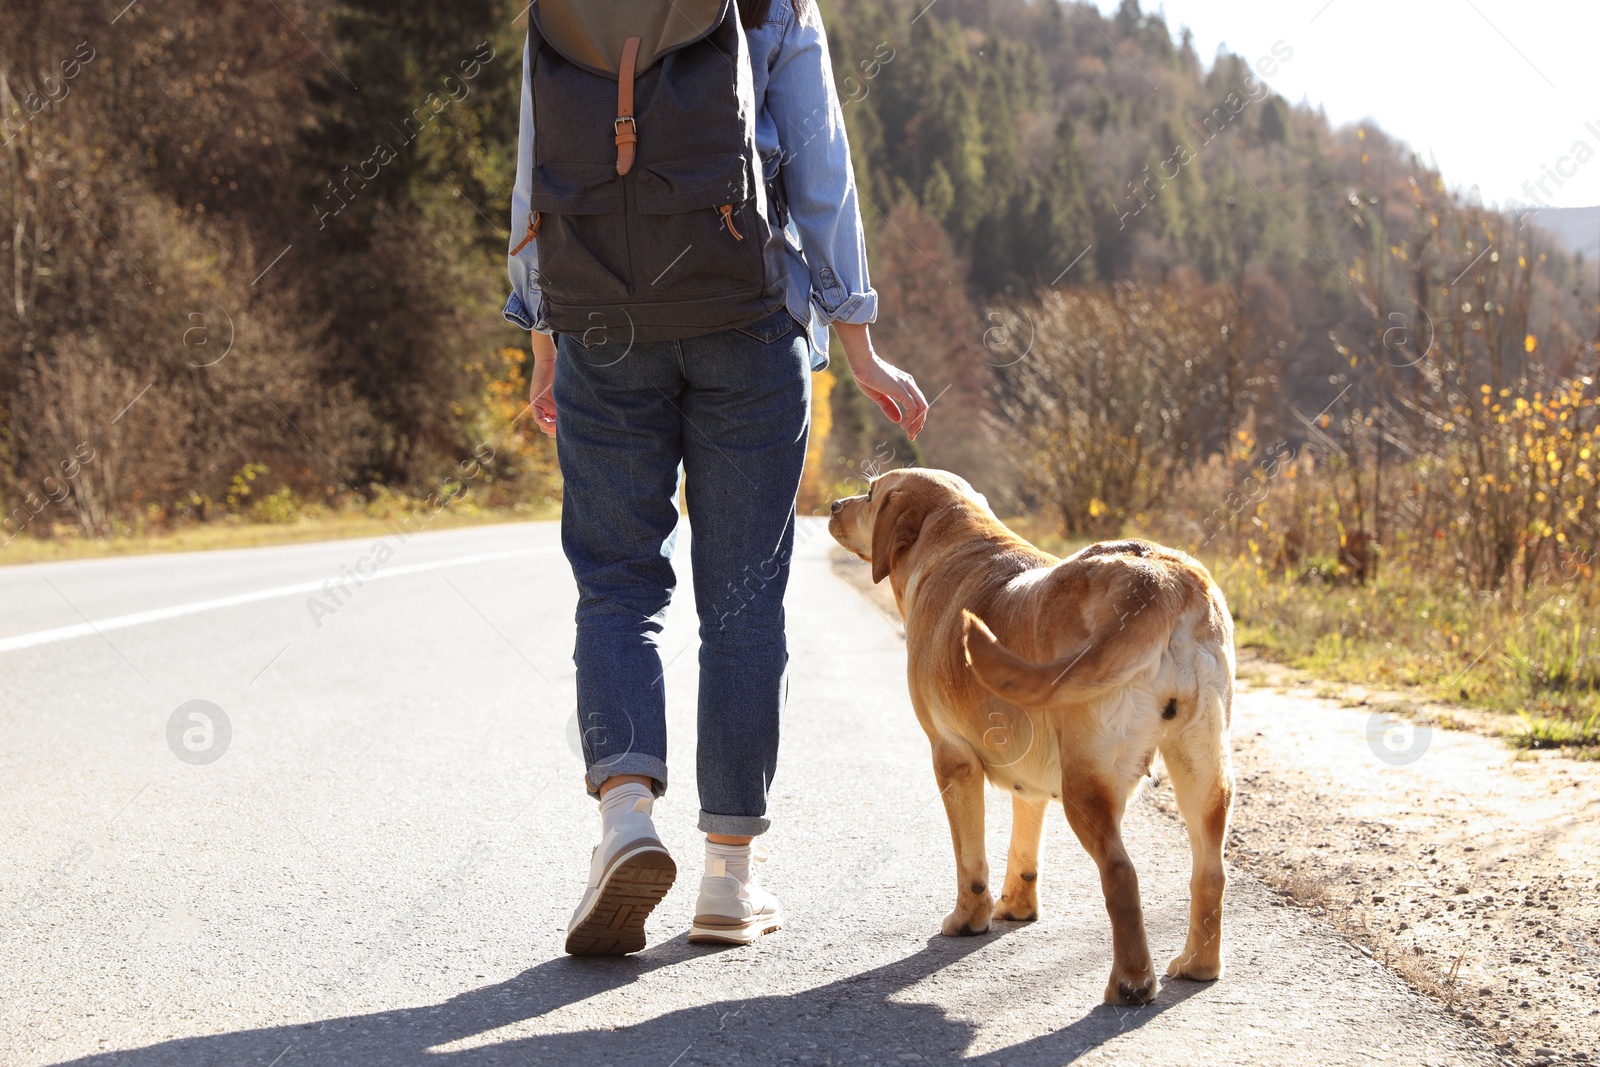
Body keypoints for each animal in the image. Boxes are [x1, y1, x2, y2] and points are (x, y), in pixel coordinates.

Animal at [825, 467, 1235, 1004]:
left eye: (870, 493)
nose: (832, 505)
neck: (953, 541)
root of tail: (1157, 579)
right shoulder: (1030, 778)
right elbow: (1024, 846)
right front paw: (1017, 906)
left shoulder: (951, 758)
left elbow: (970, 860)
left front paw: (968, 920)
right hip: (1201, 769)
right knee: (1210, 872)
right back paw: (1197, 965)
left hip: (1088, 783)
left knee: (1120, 873)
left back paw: (1130, 982)